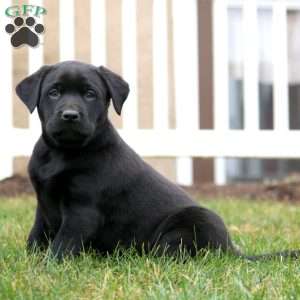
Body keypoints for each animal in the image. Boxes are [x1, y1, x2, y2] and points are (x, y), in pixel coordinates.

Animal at [17, 61, 300, 260]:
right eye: (54, 92)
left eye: (89, 94)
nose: (70, 115)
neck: (61, 153)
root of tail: (231, 249)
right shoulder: (43, 205)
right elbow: (36, 236)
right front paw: (28, 262)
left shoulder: (82, 211)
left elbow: (62, 245)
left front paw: (46, 268)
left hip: (193, 221)